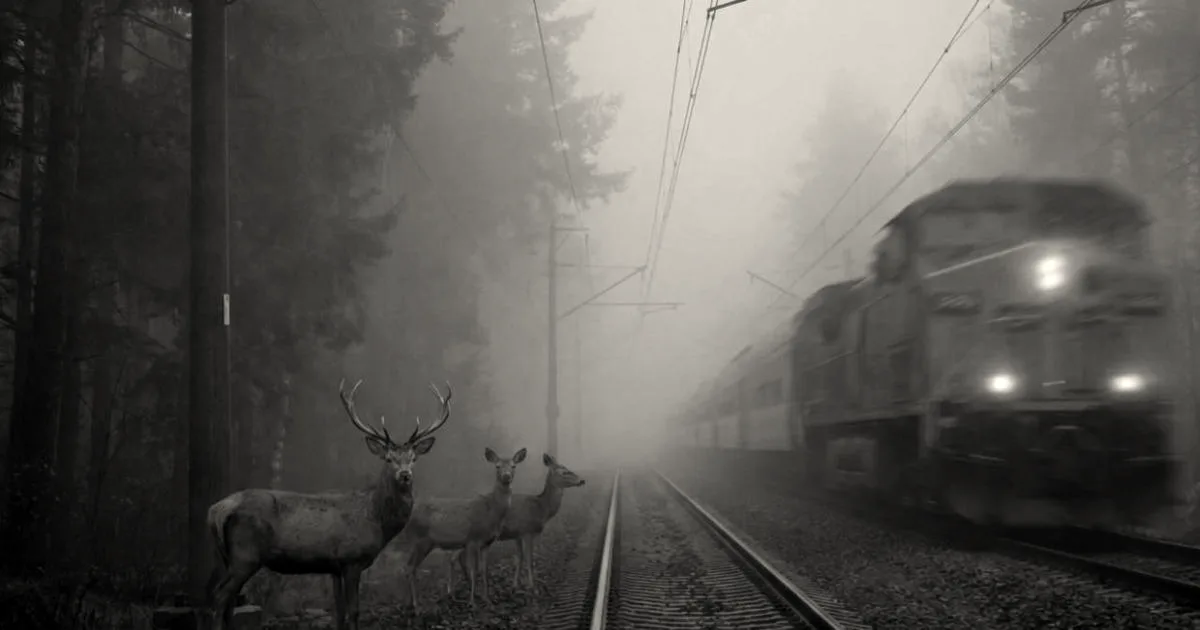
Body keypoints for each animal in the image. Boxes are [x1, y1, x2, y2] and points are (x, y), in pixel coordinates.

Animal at [206, 378, 452, 630]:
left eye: (413, 458)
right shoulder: (352, 560)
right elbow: (353, 611)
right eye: (389, 458)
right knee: (219, 596)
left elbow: (339, 612)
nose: (405, 475)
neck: (375, 519)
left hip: (224, 556)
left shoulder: (334, 566)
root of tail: (217, 510)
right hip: (245, 554)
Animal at [396, 446, 528, 610]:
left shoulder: (487, 543)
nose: (506, 476)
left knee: (407, 567)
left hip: (421, 543)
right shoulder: (473, 539)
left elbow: (484, 570)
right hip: (420, 540)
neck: (491, 511)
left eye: (513, 466)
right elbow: (474, 570)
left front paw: (487, 600)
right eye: (497, 466)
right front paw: (472, 603)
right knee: (409, 567)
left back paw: (408, 604)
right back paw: (417, 606)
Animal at [446, 453, 586, 591]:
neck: (541, 508)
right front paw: (533, 587)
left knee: (457, 557)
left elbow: (519, 558)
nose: (582, 480)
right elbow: (529, 559)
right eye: (564, 472)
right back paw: (452, 590)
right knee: (453, 557)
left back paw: (467, 583)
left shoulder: (517, 535)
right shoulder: (527, 531)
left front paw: (515, 585)